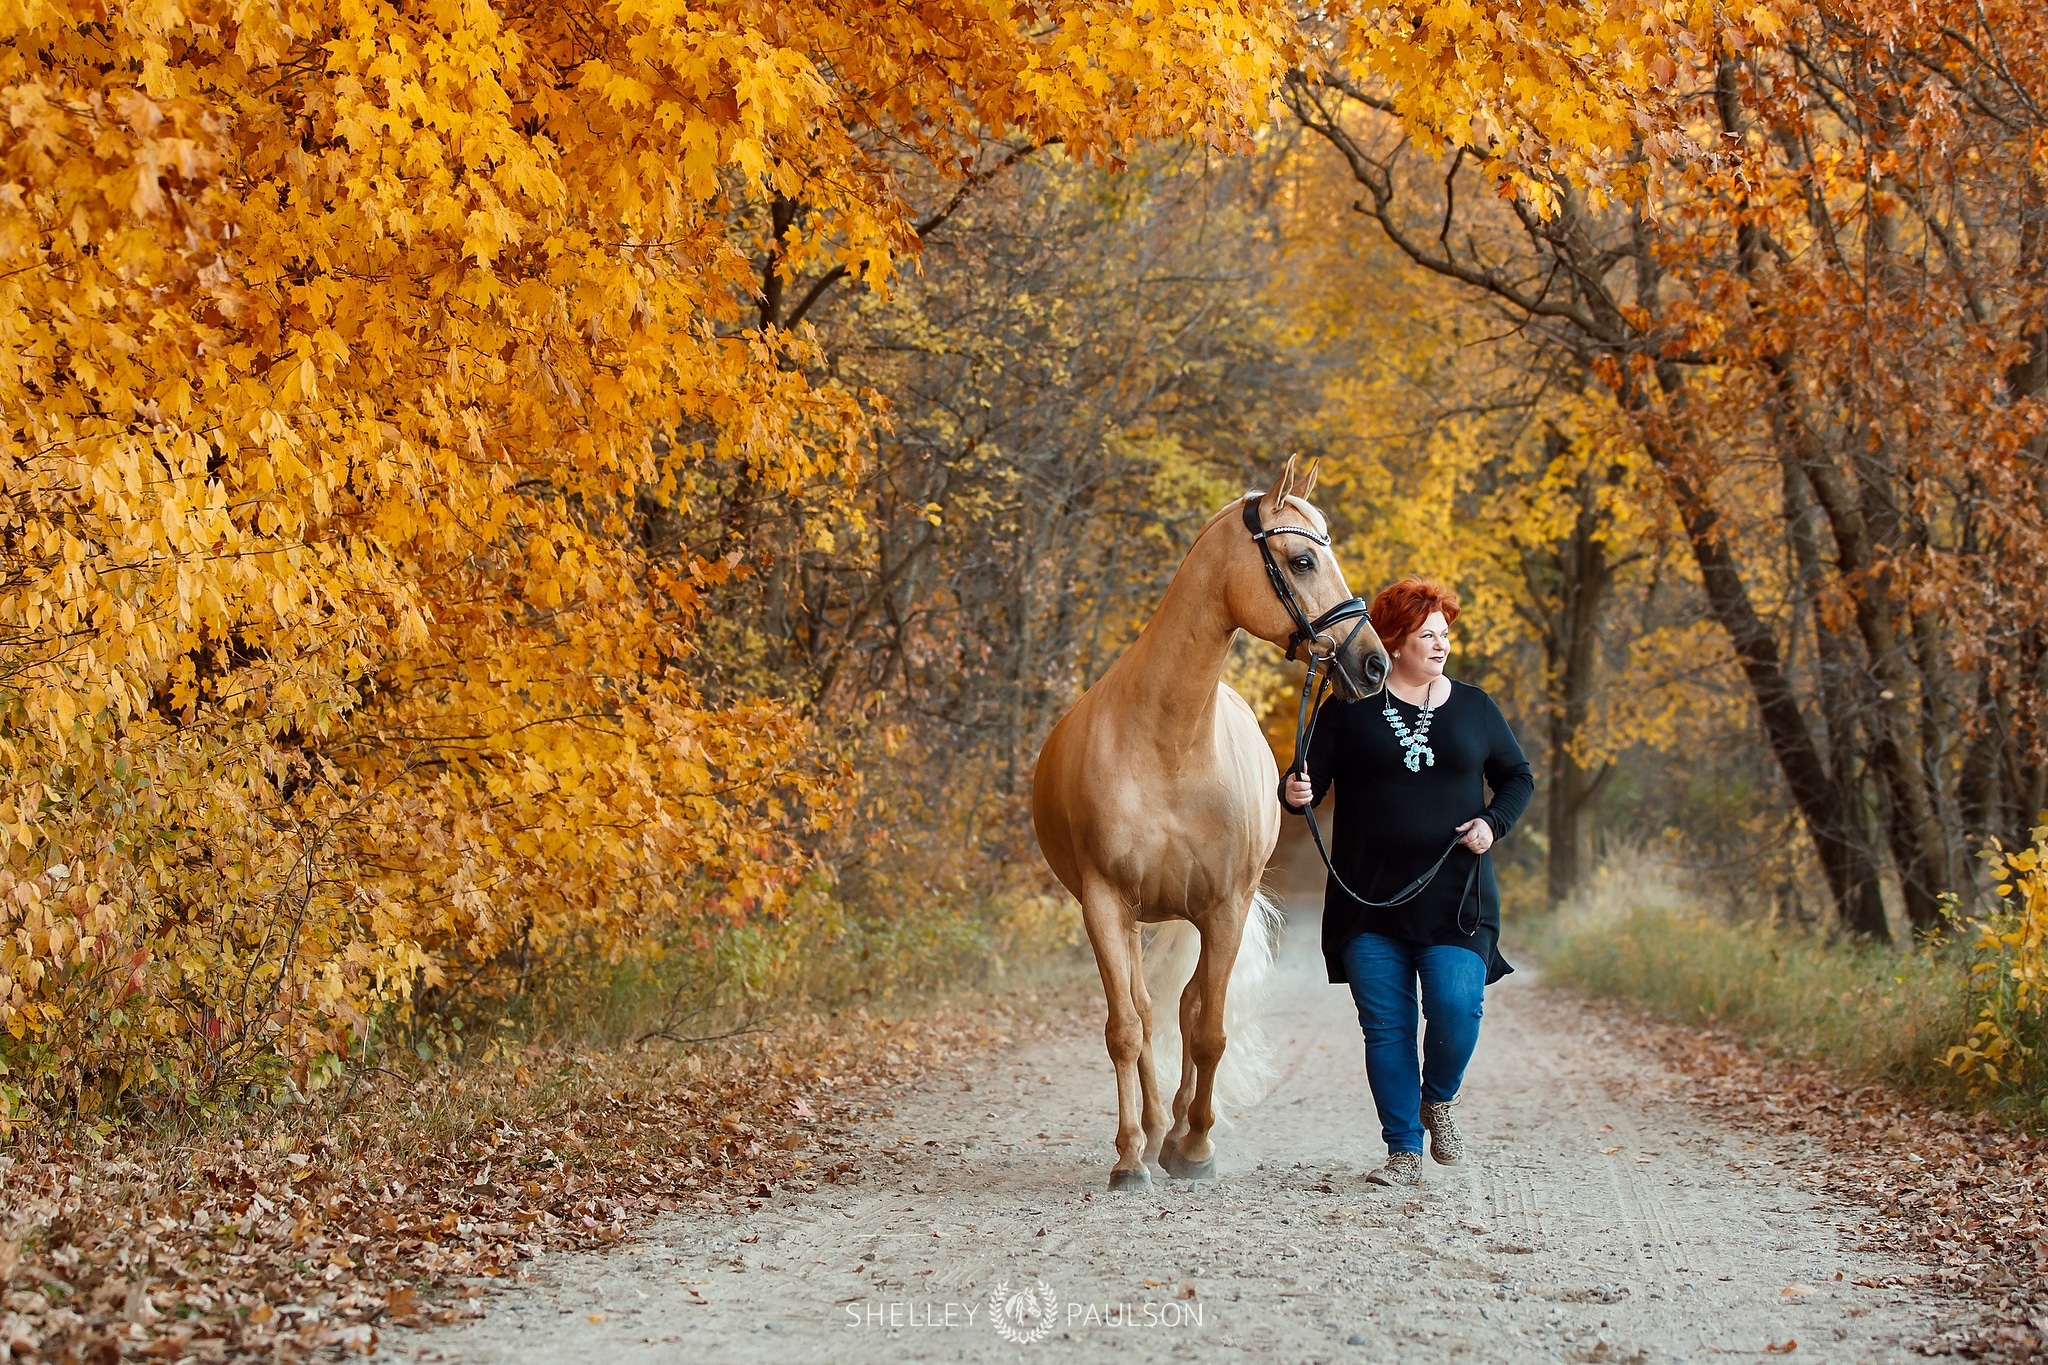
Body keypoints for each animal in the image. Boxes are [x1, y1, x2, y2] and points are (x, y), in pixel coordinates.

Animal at [1032, 456, 1384, 1186]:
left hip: (1211, 914)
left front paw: (1195, 1147)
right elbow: (1127, 1027)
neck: (1171, 745)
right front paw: (1130, 1155)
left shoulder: (1224, 906)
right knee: (1148, 1008)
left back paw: (1177, 1130)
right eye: (1303, 559)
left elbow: (1210, 1028)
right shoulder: (1104, 903)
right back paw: (1153, 1132)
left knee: (1193, 1004)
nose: (1374, 662)